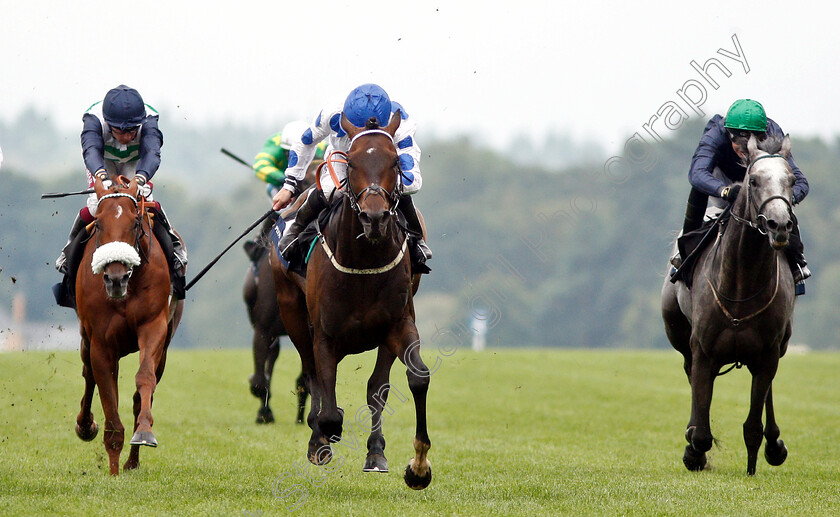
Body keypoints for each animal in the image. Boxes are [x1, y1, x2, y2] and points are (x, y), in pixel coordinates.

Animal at [73, 175, 184, 474]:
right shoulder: (101, 343)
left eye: (135, 222)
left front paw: (144, 432)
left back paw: (133, 461)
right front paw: (112, 470)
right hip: (86, 338)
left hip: (164, 348)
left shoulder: (154, 327)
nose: (115, 278)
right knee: (88, 375)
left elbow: (144, 379)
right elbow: (107, 396)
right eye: (99, 224)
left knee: (139, 393)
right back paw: (85, 425)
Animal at [272, 112, 434, 488]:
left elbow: (414, 377)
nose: (374, 217)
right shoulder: (325, 335)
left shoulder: (399, 323)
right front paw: (323, 436)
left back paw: (375, 451)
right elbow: (329, 405)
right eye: (353, 162)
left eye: (394, 162)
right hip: (293, 315)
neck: (364, 260)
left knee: (376, 387)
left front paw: (418, 465)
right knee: (313, 375)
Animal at [664, 134, 796, 476]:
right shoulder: (703, 351)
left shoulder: (767, 354)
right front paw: (693, 452)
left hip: (780, 345)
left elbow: (753, 425)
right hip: (679, 335)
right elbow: (701, 430)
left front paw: (753, 466)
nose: (779, 225)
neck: (741, 282)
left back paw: (775, 445)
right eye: (753, 180)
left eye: (791, 180)